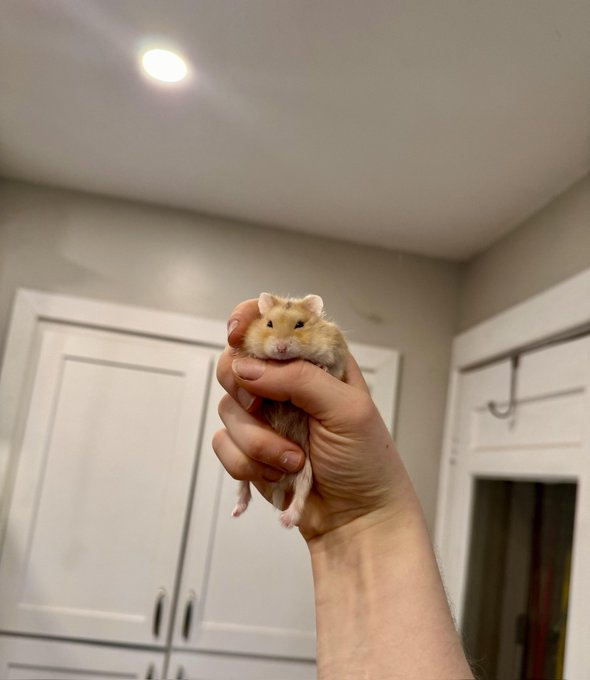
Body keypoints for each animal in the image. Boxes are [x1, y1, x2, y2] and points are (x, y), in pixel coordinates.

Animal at [232, 292, 348, 528]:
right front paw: (253, 359)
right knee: (243, 484)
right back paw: (236, 510)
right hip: (247, 465)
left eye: (299, 325)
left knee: (302, 491)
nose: (281, 348)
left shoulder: (338, 356)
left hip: (307, 467)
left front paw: (318, 366)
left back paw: (286, 519)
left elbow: (330, 368)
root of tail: (281, 483)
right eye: (269, 323)